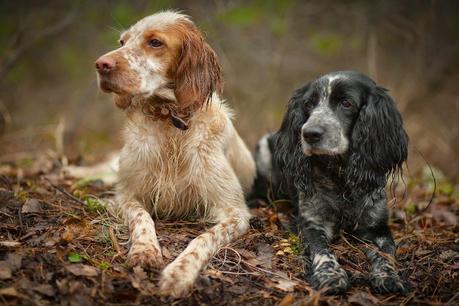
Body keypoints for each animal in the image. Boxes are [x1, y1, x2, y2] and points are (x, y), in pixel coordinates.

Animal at [69, 11, 255, 296]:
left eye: (155, 42)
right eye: (122, 41)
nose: (101, 64)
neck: (170, 121)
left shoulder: (235, 212)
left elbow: (203, 238)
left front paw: (179, 273)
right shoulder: (127, 194)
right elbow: (142, 218)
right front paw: (145, 251)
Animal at [255, 71, 410, 294]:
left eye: (346, 103)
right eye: (308, 104)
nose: (309, 133)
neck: (341, 178)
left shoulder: (377, 226)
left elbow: (386, 253)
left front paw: (388, 276)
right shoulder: (312, 223)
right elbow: (322, 250)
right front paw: (330, 275)